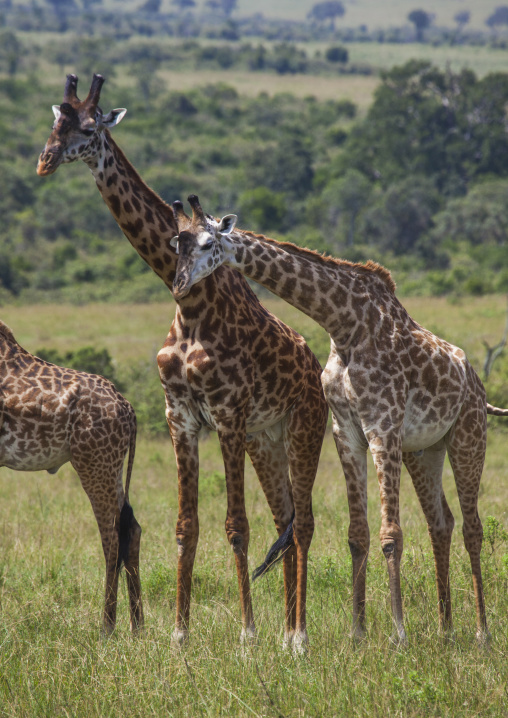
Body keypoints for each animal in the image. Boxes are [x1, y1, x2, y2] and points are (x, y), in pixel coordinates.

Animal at [0, 319, 143, 634]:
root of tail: (128, 409)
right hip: (112, 464)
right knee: (132, 528)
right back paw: (138, 627)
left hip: (94, 462)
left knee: (111, 538)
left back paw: (106, 629)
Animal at [37, 74, 329, 651]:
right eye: (55, 121)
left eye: (90, 127)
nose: (46, 160)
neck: (192, 306)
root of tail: (314, 367)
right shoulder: (182, 416)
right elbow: (185, 526)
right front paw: (179, 633)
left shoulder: (228, 414)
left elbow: (235, 525)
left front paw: (246, 635)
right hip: (267, 439)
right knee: (285, 518)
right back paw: (287, 631)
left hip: (304, 427)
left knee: (303, 523)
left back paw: (299, 637)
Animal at [171, 194, 508, 645]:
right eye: (178, 244)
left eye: (208, 243)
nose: (179, 285)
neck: (344, 325)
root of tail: (477, 386)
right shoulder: (346, 431)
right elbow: (357, 535)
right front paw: (357, 633)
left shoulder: (382, 427)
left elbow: (390, 535)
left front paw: (398, 635)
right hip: (425, 450)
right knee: (442, 523)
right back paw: (445, 630)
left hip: (468, 436)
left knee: (473, 528)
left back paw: (482, 634)